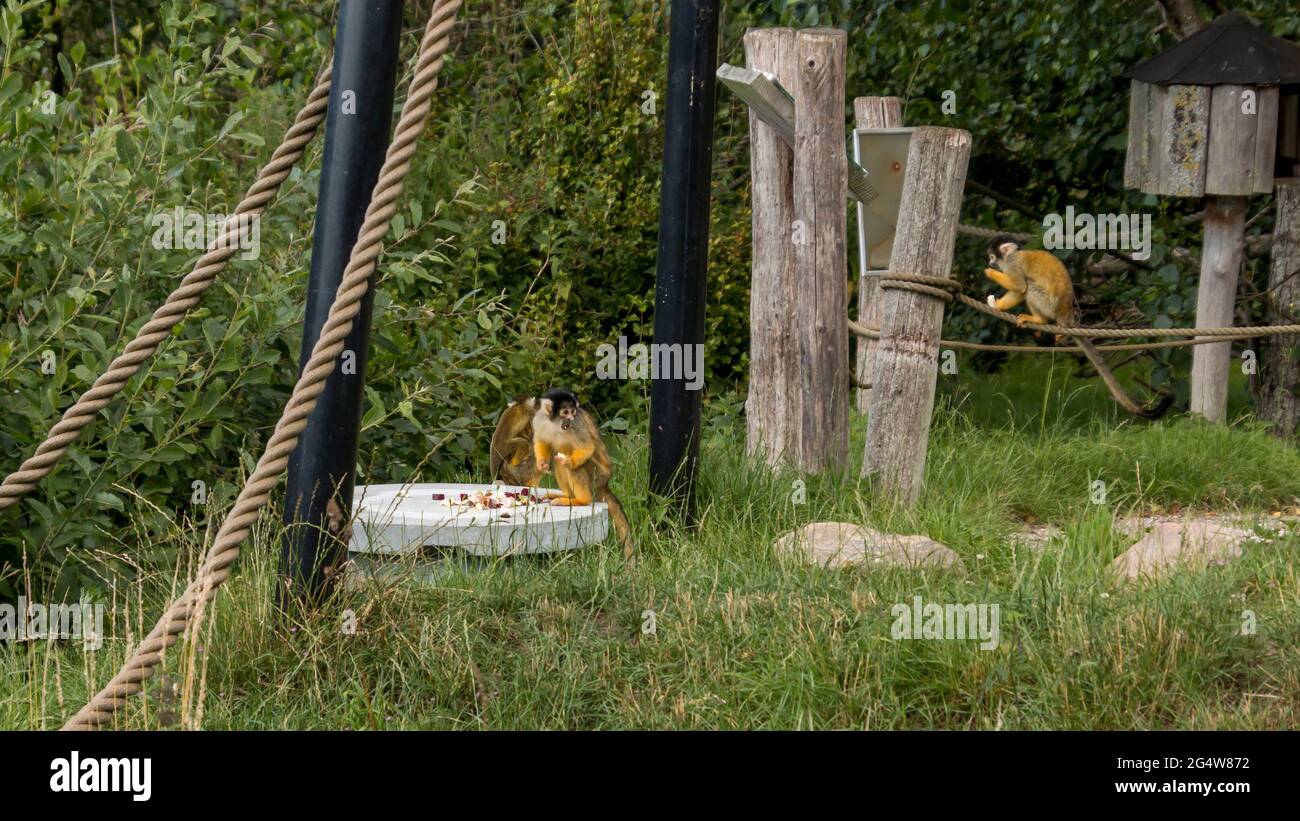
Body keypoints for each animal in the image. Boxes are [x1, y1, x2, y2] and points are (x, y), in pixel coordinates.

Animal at [531, 388, 634, 559]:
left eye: (573, 412)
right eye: (565, 412)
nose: (571, 419)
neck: (555, 424)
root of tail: (605, 483)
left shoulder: (577, 425)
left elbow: (587, 447)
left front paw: (570, 462)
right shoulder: (540, 419)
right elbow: (542, 441)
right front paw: (541, 464)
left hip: (597, 475)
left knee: (573, 465)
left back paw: (581, 500)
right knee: (557, 459)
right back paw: (566, 496)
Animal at [984, 236, 1173, 419]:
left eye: (992, 257)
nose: (991, 264)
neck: (1013, 254)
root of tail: (1066, 315)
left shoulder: (1012, 264)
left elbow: (1020, 286)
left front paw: (990, 273)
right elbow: (1018, 291)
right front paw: (997, 306)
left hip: (1048, 304)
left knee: (1029, 287)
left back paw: (1039, 319)